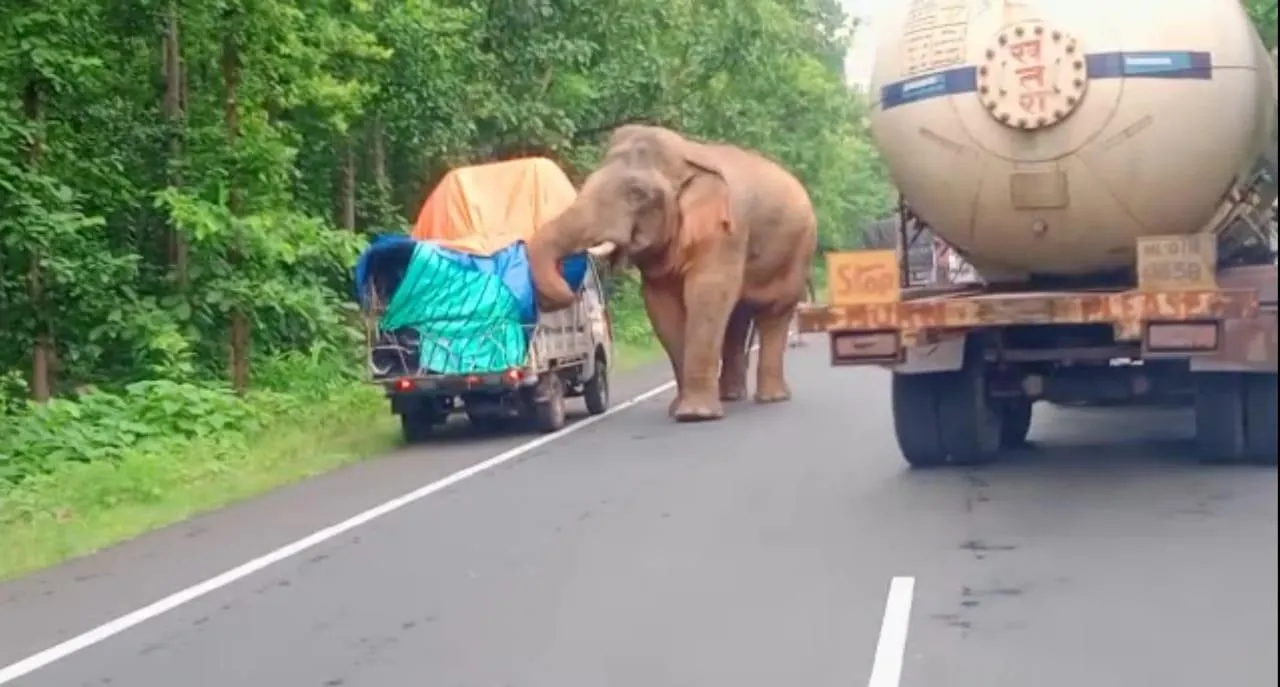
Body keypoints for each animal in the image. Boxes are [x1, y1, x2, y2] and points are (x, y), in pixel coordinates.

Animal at [529, 125, 819, 419]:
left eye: (637, 193)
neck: (685, 158)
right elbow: (661, 305)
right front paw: (679, 410)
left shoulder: (726, 233)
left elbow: (707, 294)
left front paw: (696, 415)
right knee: (737, 319)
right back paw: (731, 396)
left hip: (798, 250)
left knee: (775, 313)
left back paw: (772, 398)